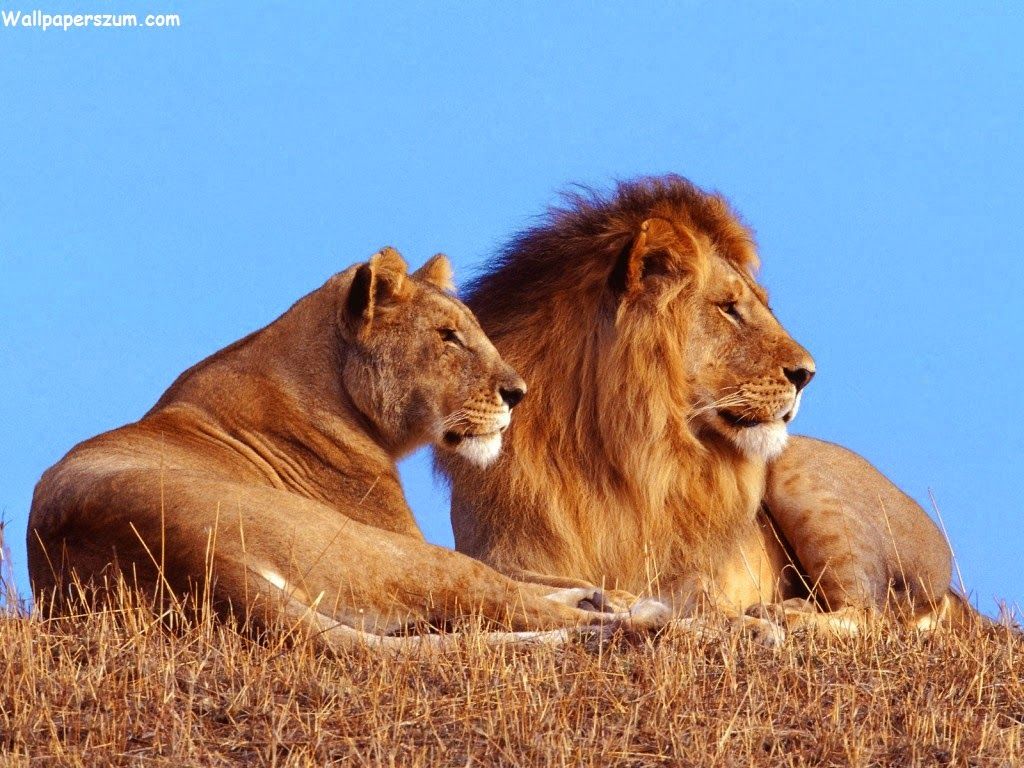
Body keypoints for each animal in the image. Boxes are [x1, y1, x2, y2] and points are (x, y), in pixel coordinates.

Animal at [28, 247, 669, 651]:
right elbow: (514, 581)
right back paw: (640, 617)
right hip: (388, 553)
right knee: (497, 598)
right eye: (447, 337)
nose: (519, 393)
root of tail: (191, 558)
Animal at [437, 175, 966, 633]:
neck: (612, 450)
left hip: (802, 472)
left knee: (870, 614)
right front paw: (601, 599)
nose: (807, 373)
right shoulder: (495, 551)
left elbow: (691, 596)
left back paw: (782, 615)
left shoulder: (690, 571)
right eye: (729, 308)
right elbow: (519, 581)